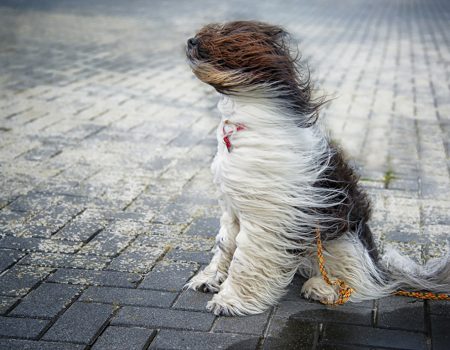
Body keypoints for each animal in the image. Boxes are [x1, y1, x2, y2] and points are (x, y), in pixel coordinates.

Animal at [184, 21, 450, 318]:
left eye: (225, 38)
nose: (191, 41)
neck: (243, 119)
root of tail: (378, 266)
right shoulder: (232, 208)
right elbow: (225, 244)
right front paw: (209, 279)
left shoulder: (266, 218)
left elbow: (244, 257)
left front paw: (230, 300)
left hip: (342, 241)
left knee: (359, 279)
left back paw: (324, 288)